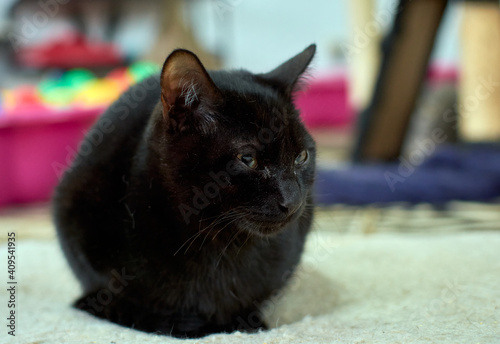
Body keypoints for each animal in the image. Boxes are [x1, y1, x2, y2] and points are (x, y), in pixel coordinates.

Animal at [53, 44, 316, 338]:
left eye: (302, 156)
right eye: (248, 159)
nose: (293, 200)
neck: (219, 247)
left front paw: (247, 322)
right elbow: (116, 300)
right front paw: (175, 324)